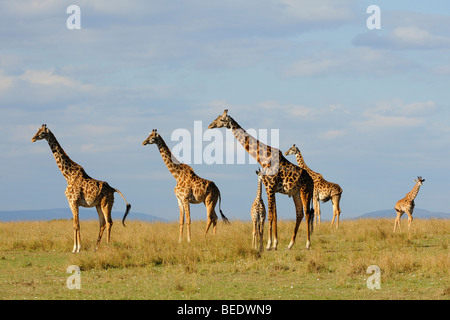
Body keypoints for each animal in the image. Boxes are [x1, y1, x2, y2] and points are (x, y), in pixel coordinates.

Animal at [207, 109, 312, 250]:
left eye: (221, 119)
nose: (210, 125)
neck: (263, 158)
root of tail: (311, 180)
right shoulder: (271, 188)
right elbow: (275, 215)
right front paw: (275, 243)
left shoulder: (270, 186)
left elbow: (271, 215)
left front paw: (269, 245)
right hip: (295, 193)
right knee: (299, 213)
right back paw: (290, 245)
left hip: (305, 191)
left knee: (307, 213)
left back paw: (307, 244)